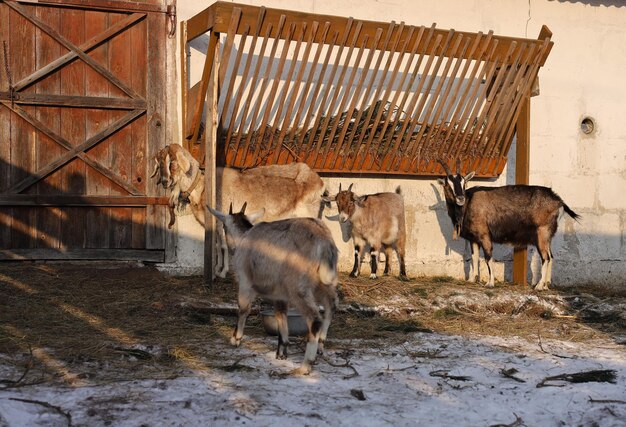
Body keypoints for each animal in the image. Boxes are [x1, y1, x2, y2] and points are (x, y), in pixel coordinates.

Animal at [151, 144, 324, 278]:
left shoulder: (221, 220)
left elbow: (223, 246)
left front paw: (222, 272)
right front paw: (216, 270)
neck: (203, 188)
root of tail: (319, 182)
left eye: (172, 162)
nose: (165, 182)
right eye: (160, 163)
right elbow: (217, 245)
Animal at [207, 204, 336, 374]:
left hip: (297, 286)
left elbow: (243, 309)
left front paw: (235, 339)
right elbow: (280, 315)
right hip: (324, 282)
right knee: (331, 306)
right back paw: (321, 346)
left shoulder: (245, 281)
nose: (231, 246)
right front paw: (281, 351)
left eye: (223, 226)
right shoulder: (280, 294)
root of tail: (323, 241)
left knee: (314, 318)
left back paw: (306, 365)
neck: (244, 236)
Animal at [436, 159, 576, 292]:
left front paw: (490, 283)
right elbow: (474, 257)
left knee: (546, 258)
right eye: (448, 184)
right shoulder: (473, 238)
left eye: (463, 182)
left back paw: (539, 286)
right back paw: (546, 285)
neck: (468, 203)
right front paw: (472, 279)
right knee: (551, 257)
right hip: (548, 236)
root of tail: (559, 201)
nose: (460, 198)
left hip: (542, 232)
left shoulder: (484, 234)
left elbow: (488, 257)